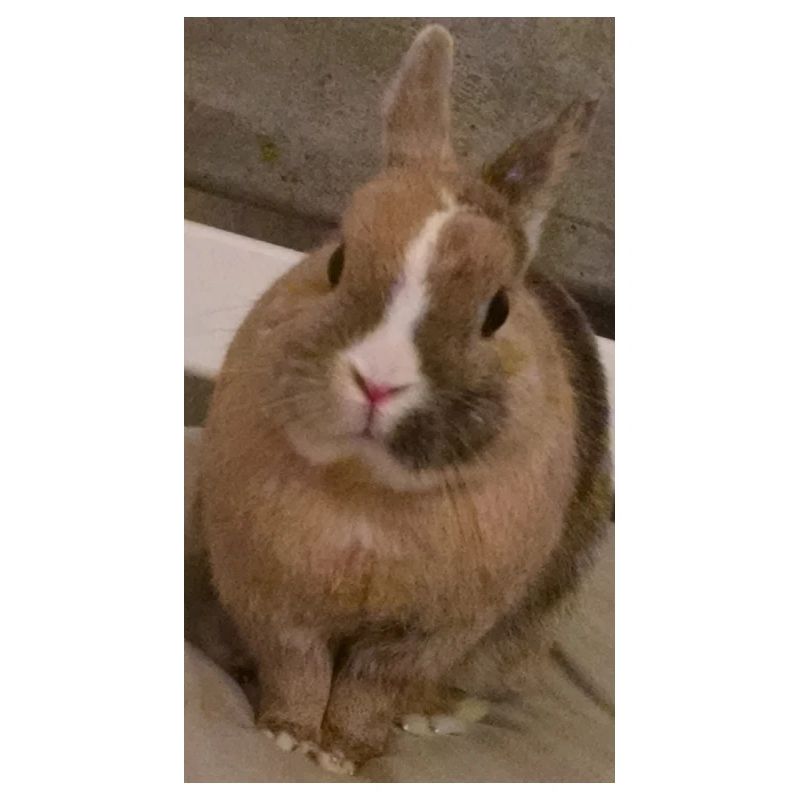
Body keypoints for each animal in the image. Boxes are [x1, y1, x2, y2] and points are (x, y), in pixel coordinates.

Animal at [199, 24, 612, 775]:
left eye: (497, 309)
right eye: (336, 262)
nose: (378, 380)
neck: (365, 493)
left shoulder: (425, 634)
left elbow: (371, 688)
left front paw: (346, 754)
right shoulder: (275, 605)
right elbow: (297, 670)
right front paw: (289, 736)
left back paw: (432, 717)